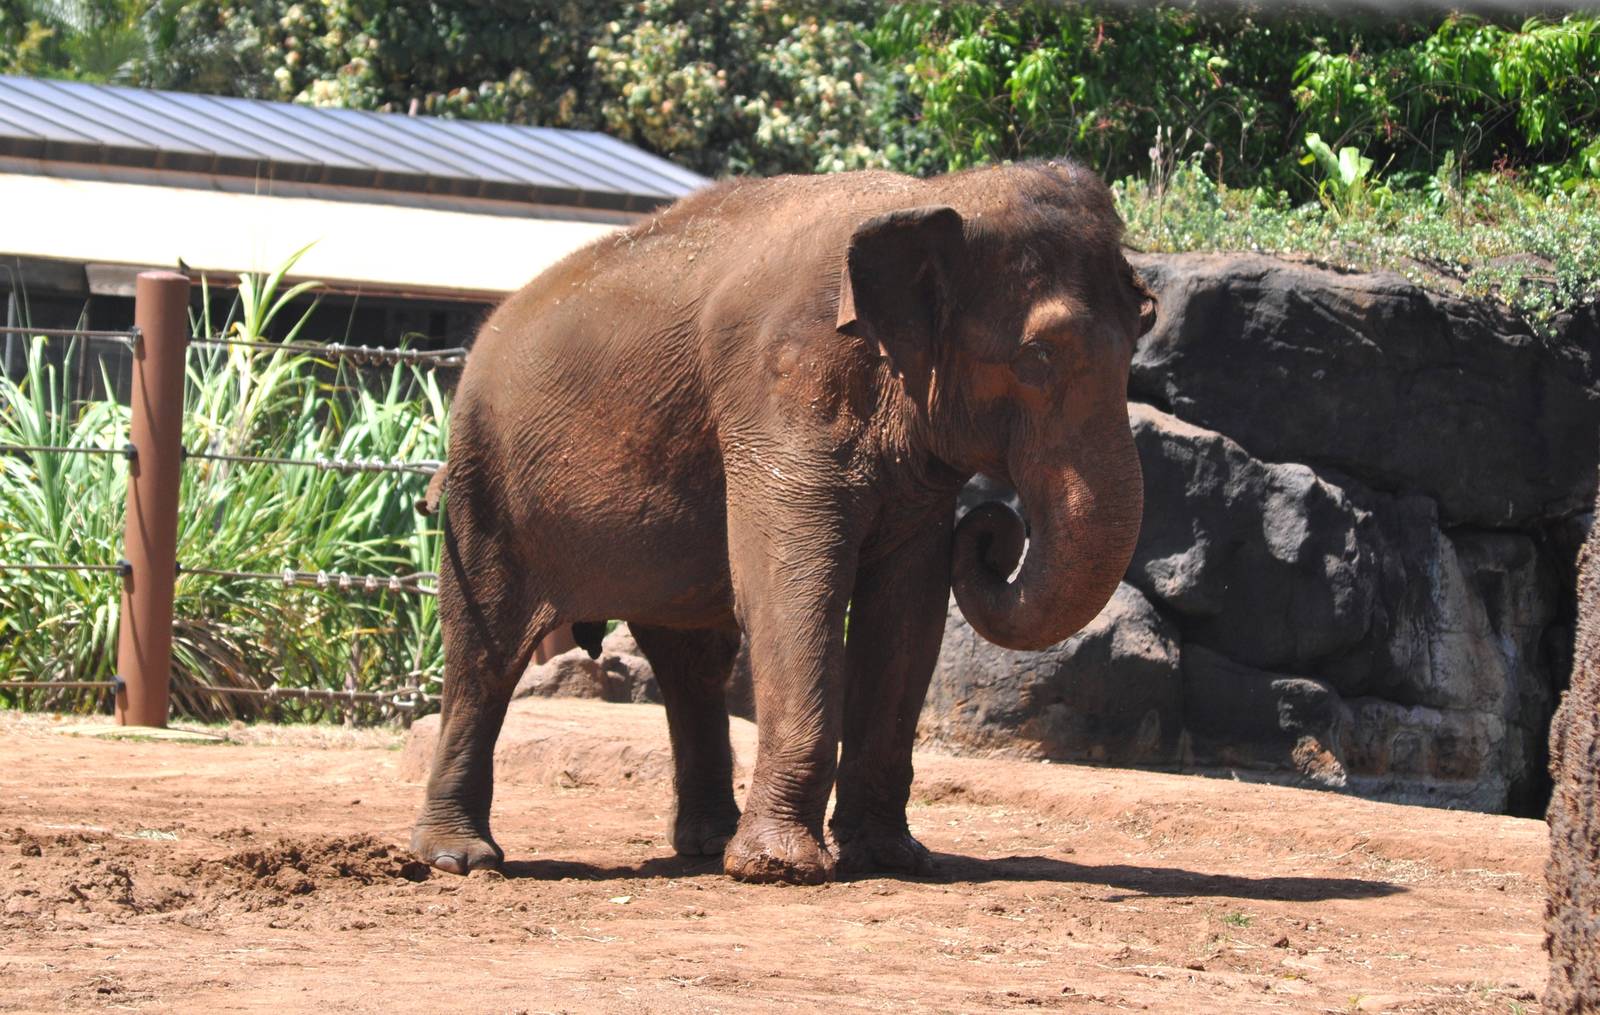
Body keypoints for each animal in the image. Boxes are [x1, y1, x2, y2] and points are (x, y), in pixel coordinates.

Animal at [410, 160, 1156, 885]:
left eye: (1138, 339)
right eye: (1037, 359)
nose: (995, 530)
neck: (931, 195)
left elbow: (908, 605)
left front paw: (891, 859)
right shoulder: (780, 388)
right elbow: (793, 587)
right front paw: (781, 870)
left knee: (691, 660)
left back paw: (708, 844)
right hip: (484, 483)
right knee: (484, 652)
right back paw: (460, 860)